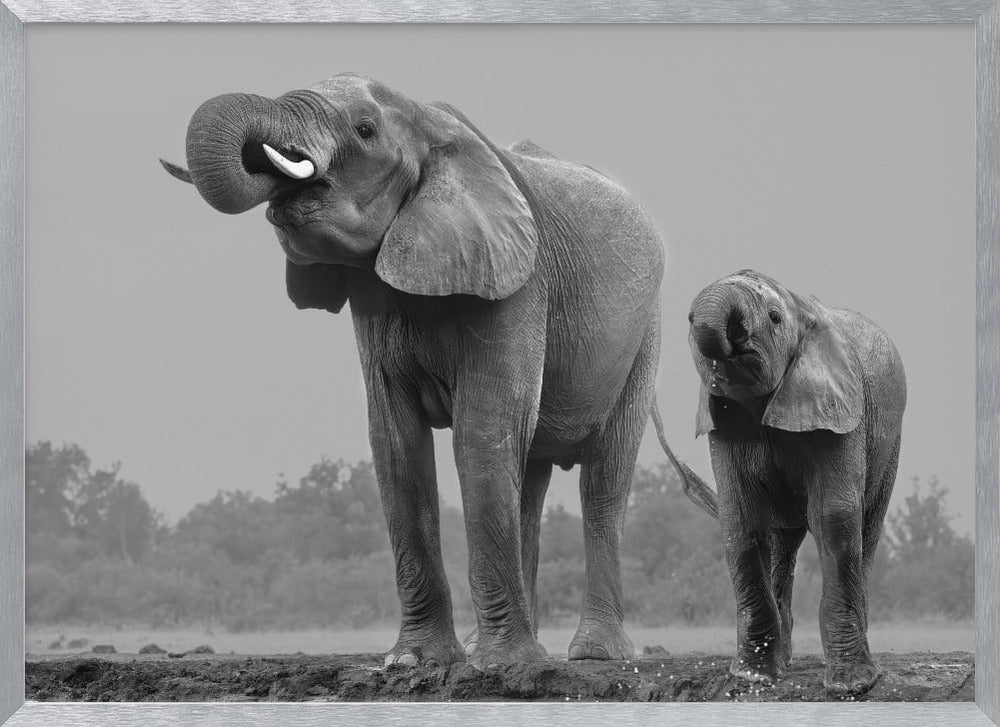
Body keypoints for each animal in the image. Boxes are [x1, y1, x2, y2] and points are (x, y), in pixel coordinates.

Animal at [162, 72, 713, 669]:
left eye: (365, 130)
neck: (428, 122)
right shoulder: (375, 296)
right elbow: (396, 442)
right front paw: (420, 661)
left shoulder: (519, 281)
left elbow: (482, 431)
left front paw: (501, 667)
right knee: (529, 479)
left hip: (644, 337)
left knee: (604, 480)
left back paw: (594, 654)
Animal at [666, 269, 906, 696]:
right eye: (689, 319)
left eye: (775, 318)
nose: (732, 333)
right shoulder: (723, 424)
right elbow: (741, 521)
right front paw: (753, 677)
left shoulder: (840, 411)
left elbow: (834, 517)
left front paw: (852, 686)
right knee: (780, 540)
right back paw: (784, 661)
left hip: (889, 442)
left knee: (868, 525)